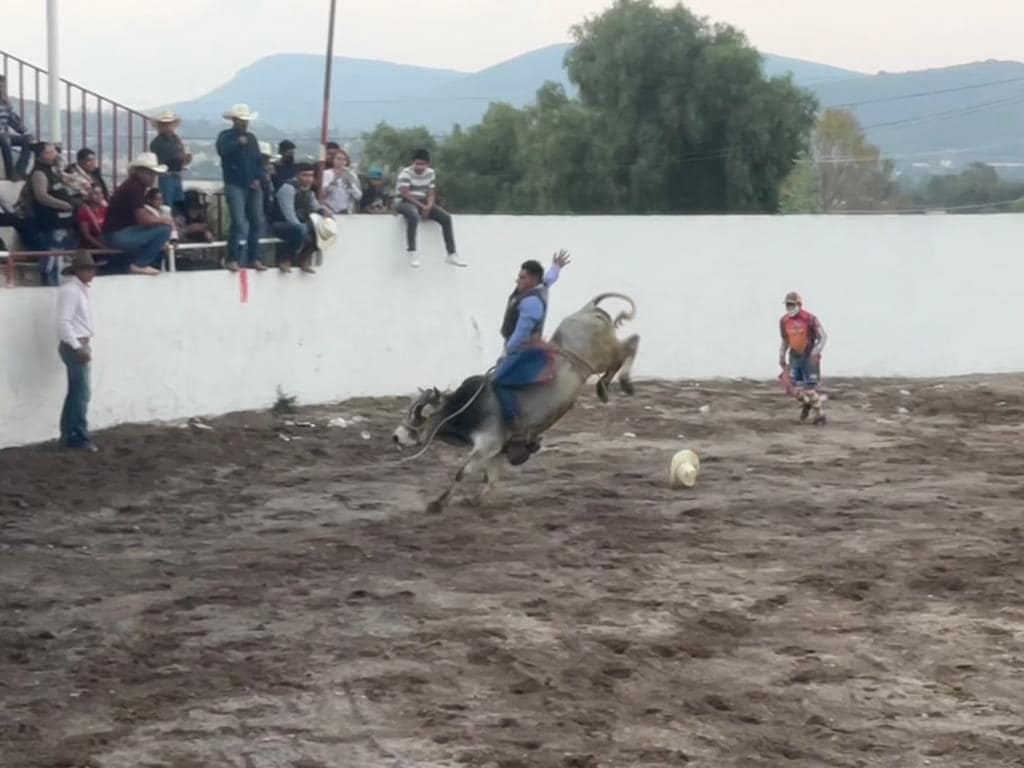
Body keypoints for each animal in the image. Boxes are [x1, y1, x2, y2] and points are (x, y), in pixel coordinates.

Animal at [391, 294, 638, 518]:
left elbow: (462, 472)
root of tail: (587, 309)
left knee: (631, 344)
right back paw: (606, 386)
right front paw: (474, 499)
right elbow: (491, 480)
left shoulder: (486, 445)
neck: (466, 407)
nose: (395, 437)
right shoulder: (498, 451)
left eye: (419, 414)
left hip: (603, 354)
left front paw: (438, 504)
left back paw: (621, 383)